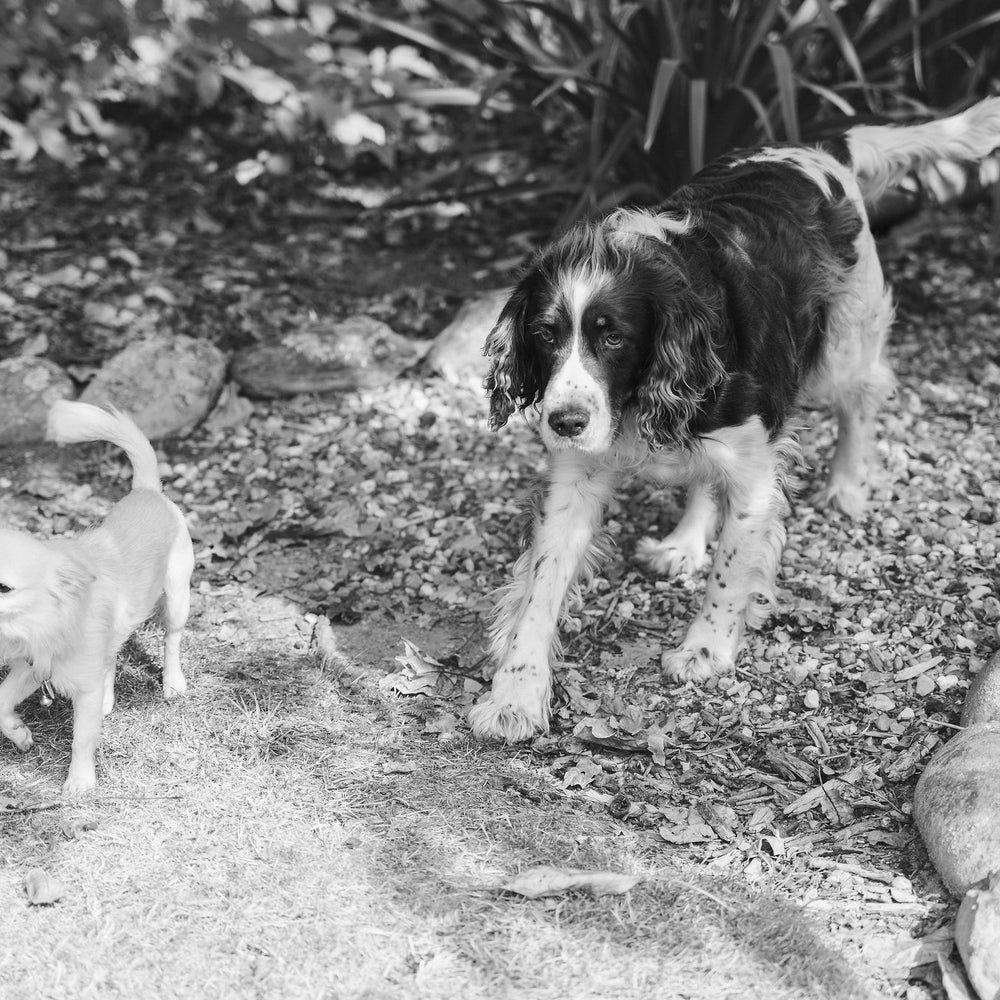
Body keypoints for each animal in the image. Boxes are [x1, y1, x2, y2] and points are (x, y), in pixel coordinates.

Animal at [0, 398, 193, 796]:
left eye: (4, 588)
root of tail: (148, 489)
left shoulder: (78, 687)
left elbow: (82, 738)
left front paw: (80, 782)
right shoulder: (33, 667)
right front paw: (20, 734)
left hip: (177, 598)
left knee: (172, 639)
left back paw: (173, 683)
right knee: (112, 657)